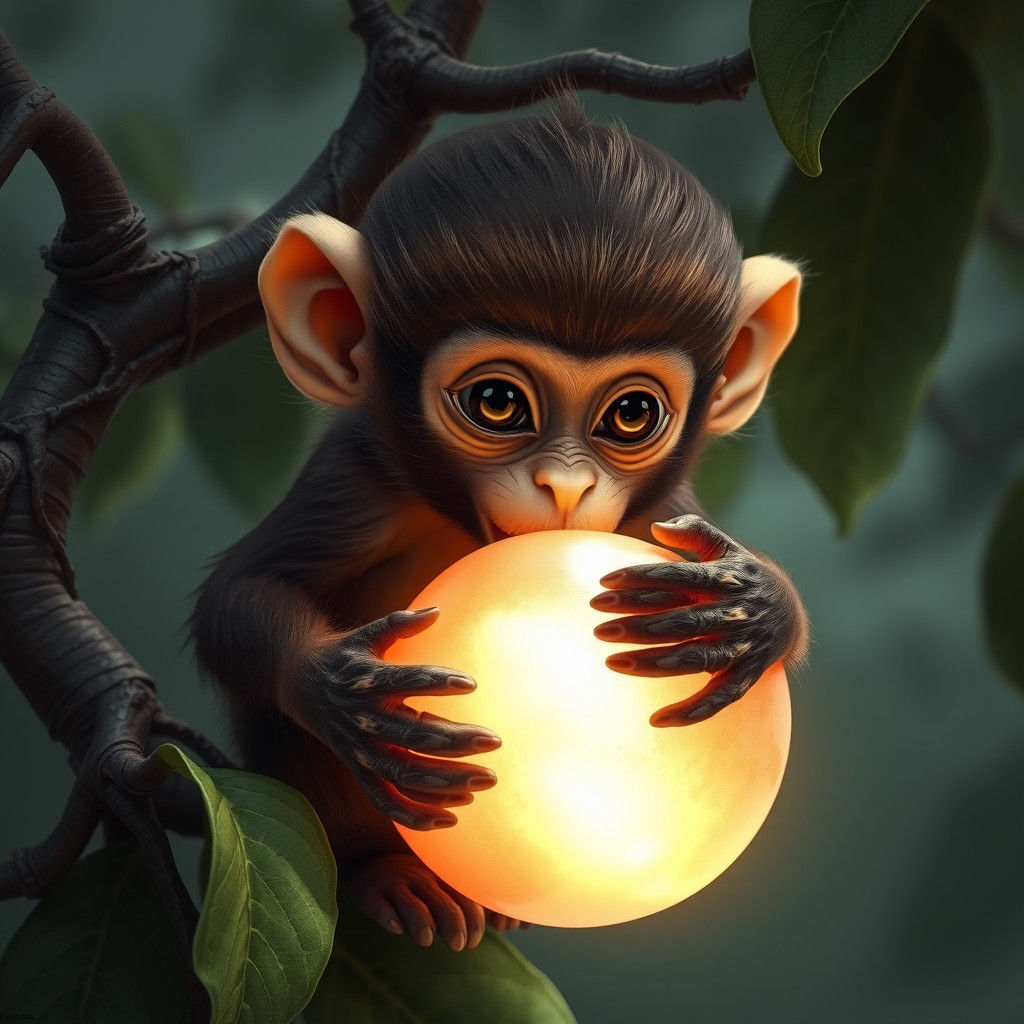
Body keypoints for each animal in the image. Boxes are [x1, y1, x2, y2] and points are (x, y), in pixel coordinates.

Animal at [190, 97, 808, 954]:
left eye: (631, 413)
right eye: (497, 403)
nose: (566, 486)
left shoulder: (659, 513)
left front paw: (757, 606)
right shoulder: (359, 481)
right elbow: (240, 591)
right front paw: (339, 687)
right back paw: (388, 875)